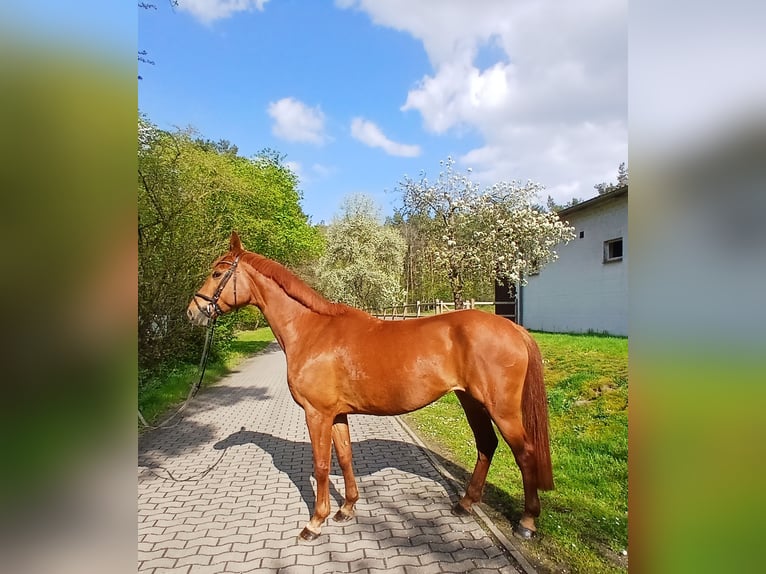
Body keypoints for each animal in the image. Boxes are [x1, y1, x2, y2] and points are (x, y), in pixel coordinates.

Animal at [187, 231, 554, 541]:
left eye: (217, 273)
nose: (194, 312)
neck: (312, 331)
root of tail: (513, 328)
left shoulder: (316, 414)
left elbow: (321, 465)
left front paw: (315, 522)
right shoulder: (337, 415)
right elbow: (345, 457)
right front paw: (346, 508)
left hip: (502, 409)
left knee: (524, 453)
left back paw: (526, 523)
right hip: (471, 401)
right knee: (486, 445)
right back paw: (465, 503)